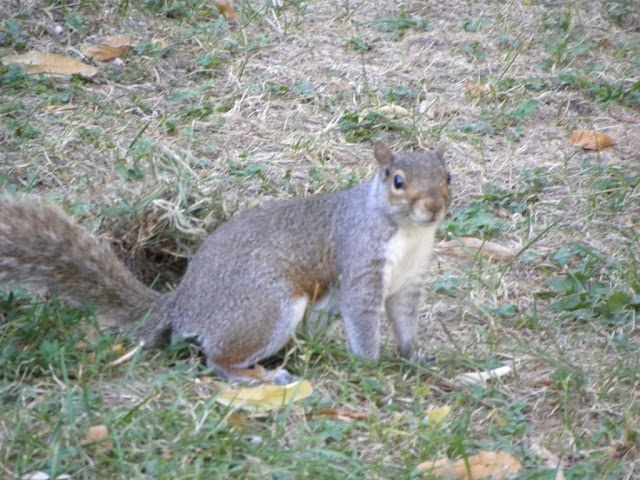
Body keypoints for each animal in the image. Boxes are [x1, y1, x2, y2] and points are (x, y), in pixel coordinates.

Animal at [0, 141, 450, 384]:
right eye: (398, 182)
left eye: (449, 177)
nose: (433, 207)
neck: (407, 234)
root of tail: (183, 304)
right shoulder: (360, 264)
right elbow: (363, 319)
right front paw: (372, 367)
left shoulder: (409, 282)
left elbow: (405, 321)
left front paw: (414, 357)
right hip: (266, 308)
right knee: (219, 359)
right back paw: (261, 376)